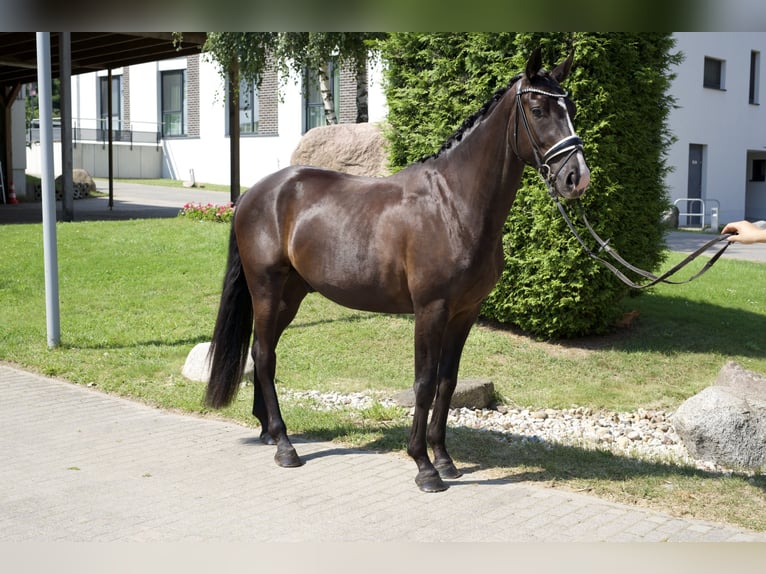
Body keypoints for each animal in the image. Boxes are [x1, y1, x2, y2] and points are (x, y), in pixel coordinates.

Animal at [207, 47, 592, 492]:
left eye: (572, 108)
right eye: (538, 109)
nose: (576, 178)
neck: (453, 203)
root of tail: (253, 193)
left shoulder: (465, 312)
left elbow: (447, 382)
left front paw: (445, 460)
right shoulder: (430, 309)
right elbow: (424, 383)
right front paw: (424, 466)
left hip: (291, 295)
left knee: (263, 350)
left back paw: (268, 430)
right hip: (266, 289)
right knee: (264, 355)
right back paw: (285, 446)